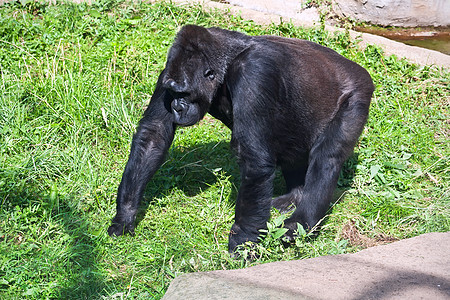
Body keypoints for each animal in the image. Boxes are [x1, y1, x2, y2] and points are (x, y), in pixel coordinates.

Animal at [107, 24, 374, 253]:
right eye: (172, 92)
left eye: (183, 93)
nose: (176, 107)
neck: (226, 64)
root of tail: (360, 69)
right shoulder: (168, 69)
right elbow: (154, 134)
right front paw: (125, 215)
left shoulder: (254, 74)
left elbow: (254, 161)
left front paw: (244, 239)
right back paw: (294, 197)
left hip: (359, 93)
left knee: (327, 158)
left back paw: (301, 223)